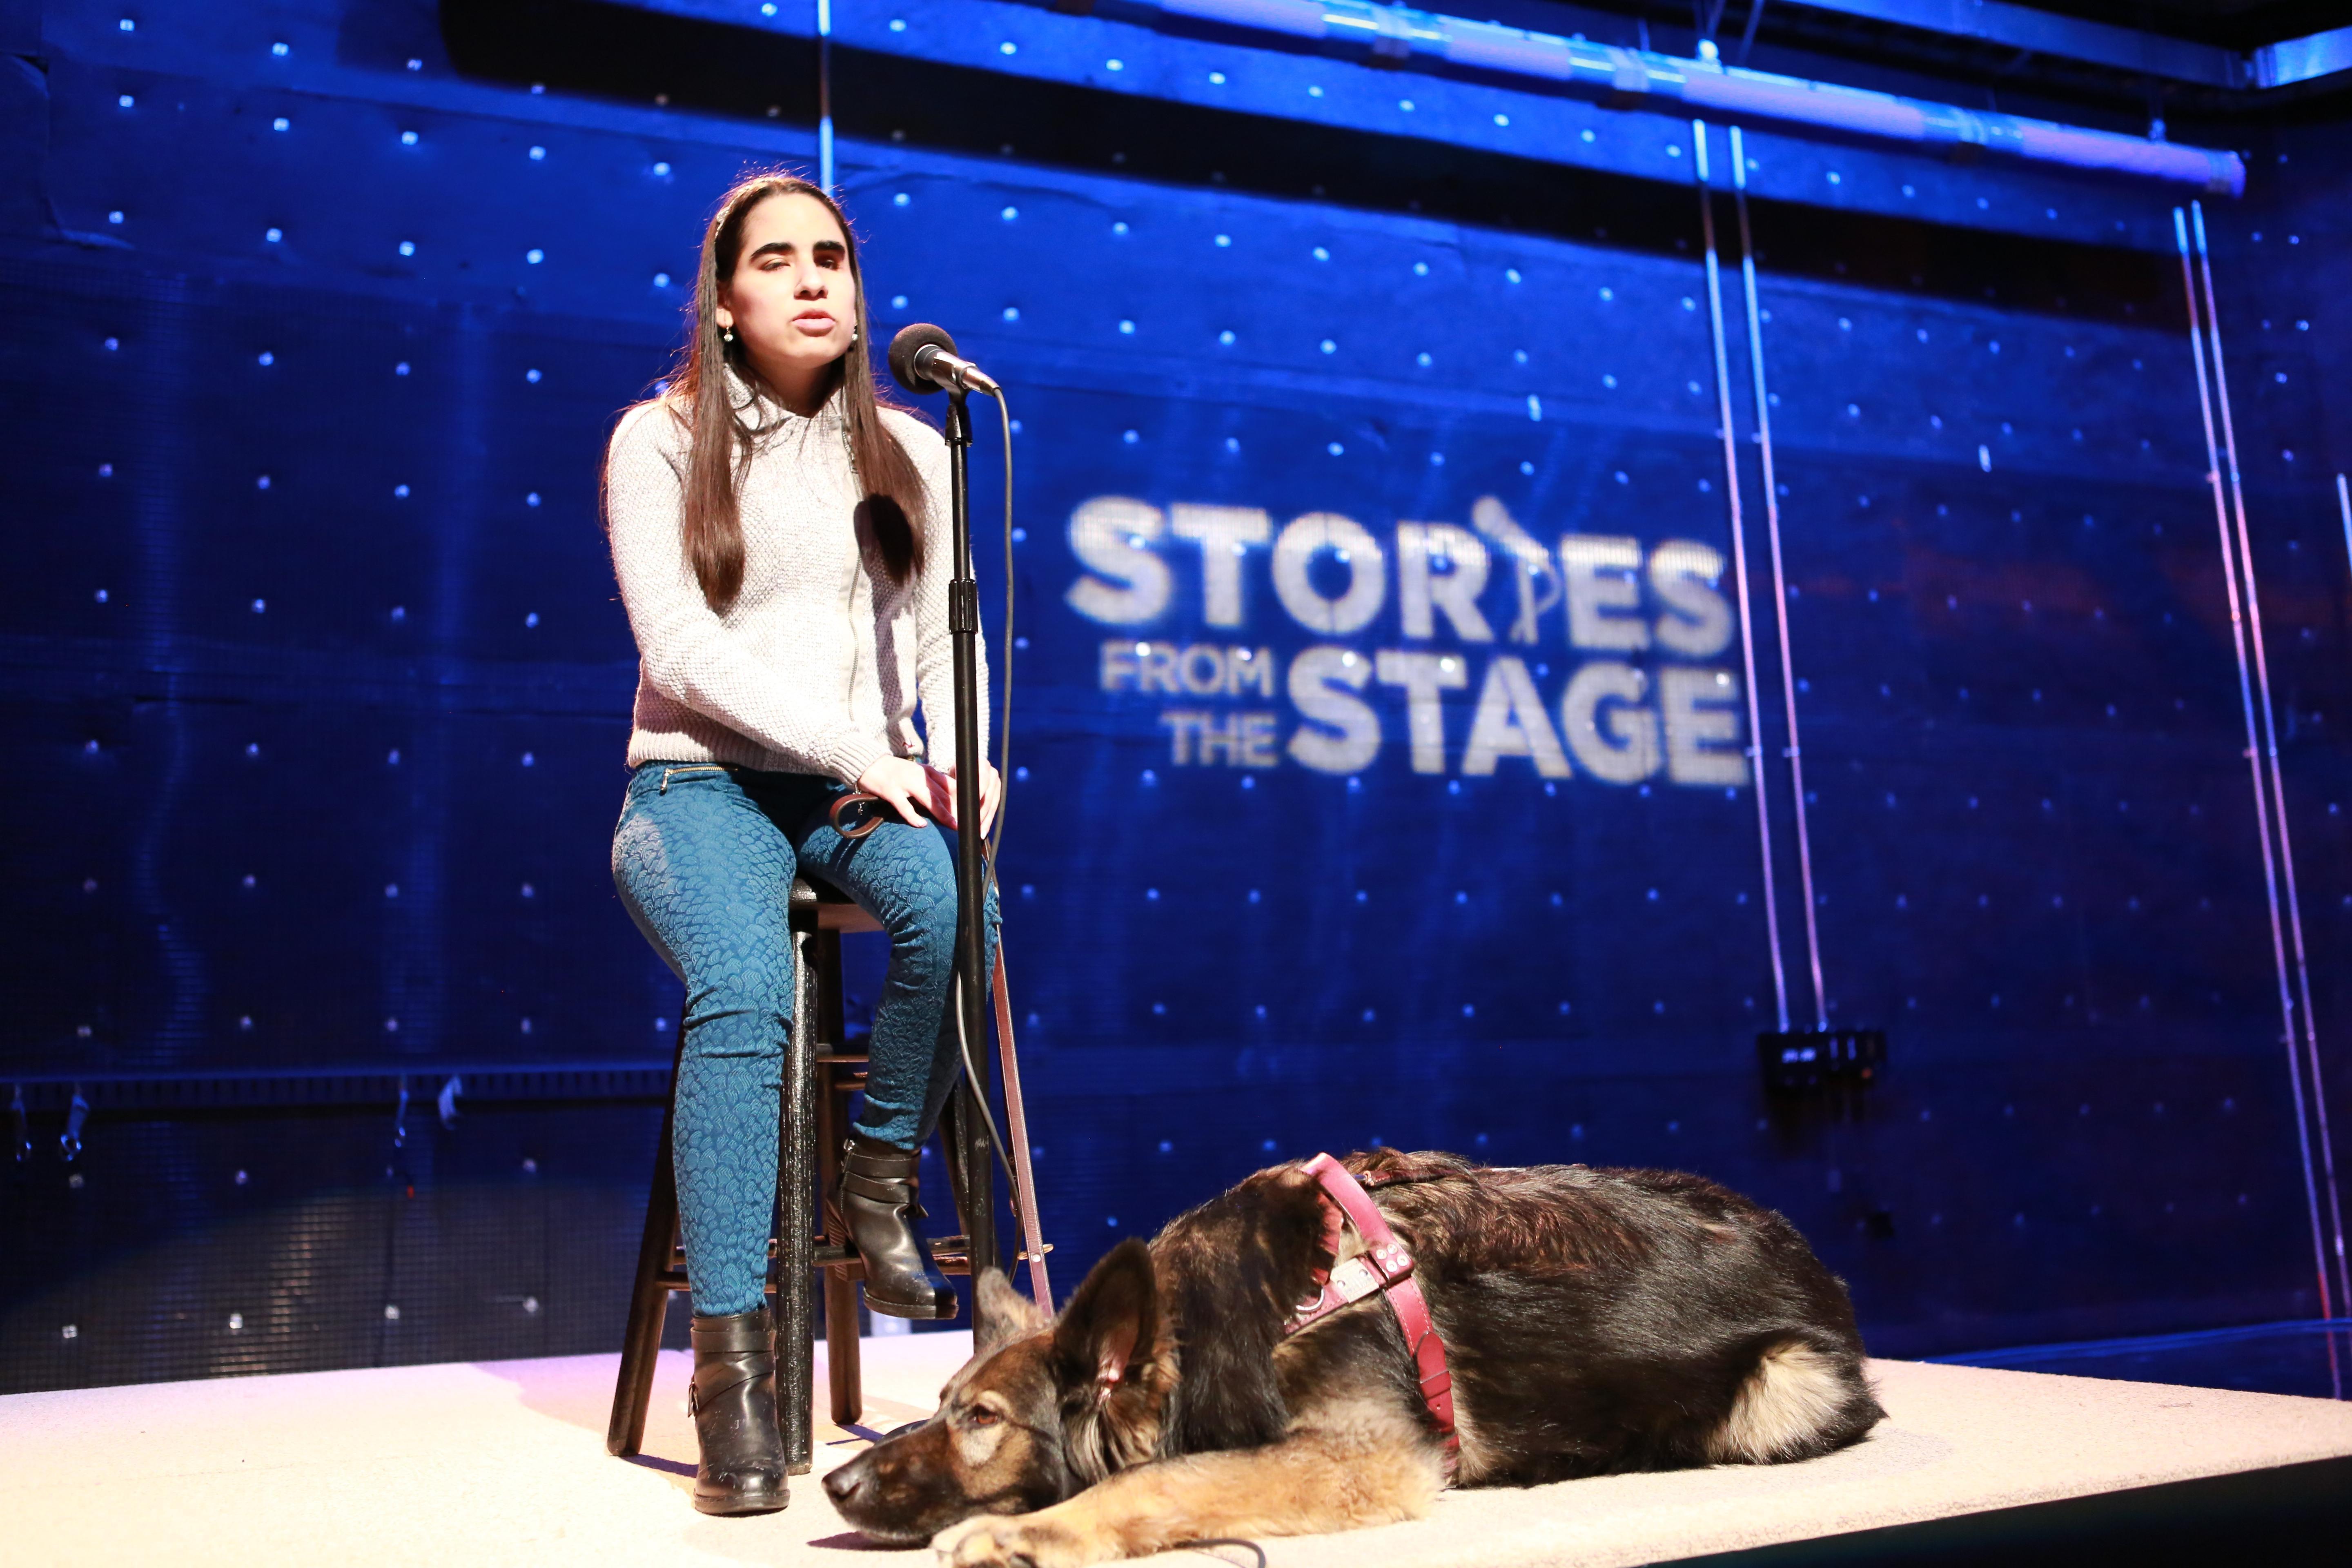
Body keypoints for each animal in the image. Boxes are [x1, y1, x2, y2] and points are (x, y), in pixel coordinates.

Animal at [823, 1148, 1882, 1565]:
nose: (832, 1484)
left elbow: (1157, 1482)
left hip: (1783, 1386)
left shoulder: (1352, 1456)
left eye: (980, 1420)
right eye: (942, 1403)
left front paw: (1025, 1535)